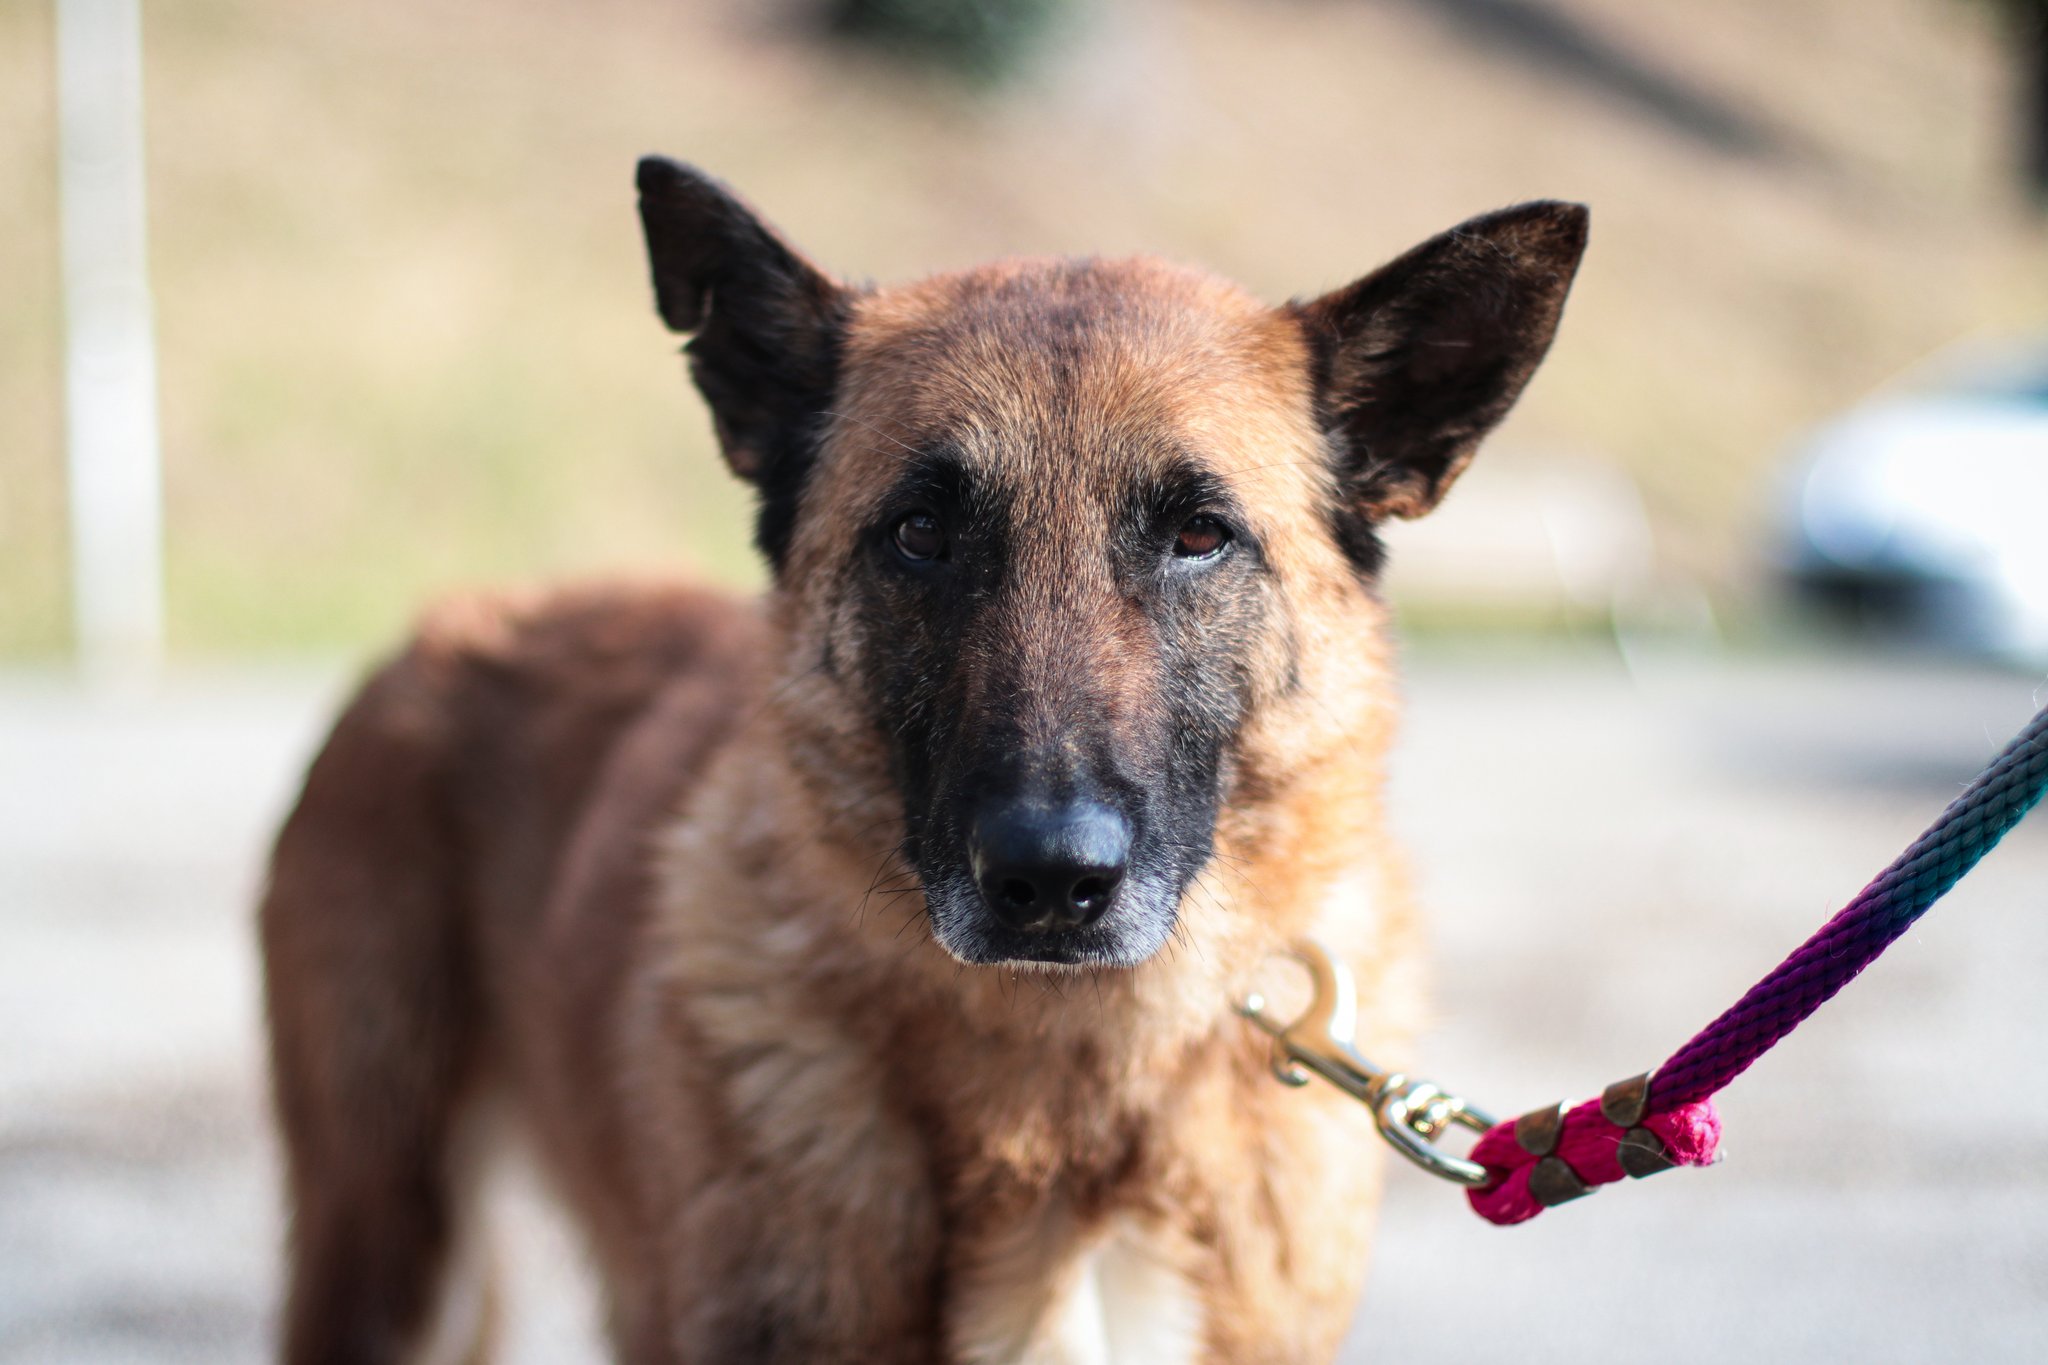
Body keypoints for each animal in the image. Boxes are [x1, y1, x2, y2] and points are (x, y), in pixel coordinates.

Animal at [259, 158, 1585, 1364]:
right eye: (920, 531)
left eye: (1199, 535)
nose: (1049, 881)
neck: (1069, 1086)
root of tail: (440, 628)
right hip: (387, 1256)